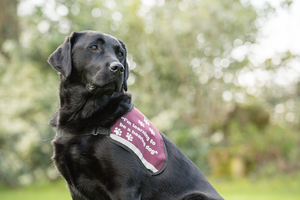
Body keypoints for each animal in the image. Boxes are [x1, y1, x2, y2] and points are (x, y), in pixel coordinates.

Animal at [48, 30, 223, 200]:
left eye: (120, 54)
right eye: (93, 47)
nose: (118, 68)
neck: (85, 116)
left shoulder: (124, 186)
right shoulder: (74, 187)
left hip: (196, 196)